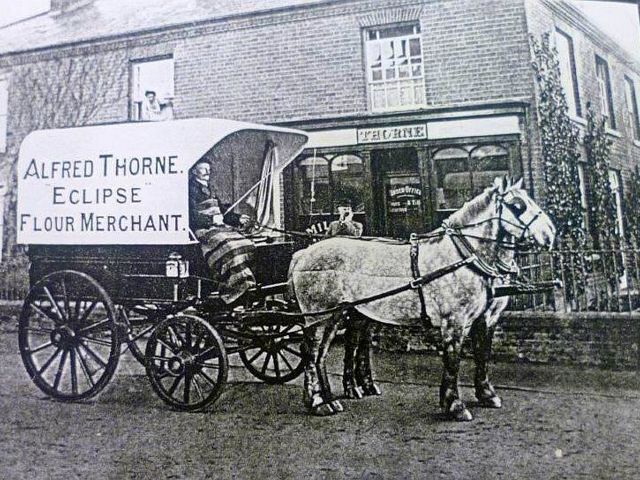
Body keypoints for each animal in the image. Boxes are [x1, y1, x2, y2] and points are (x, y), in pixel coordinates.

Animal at [290, 176, 556, 420]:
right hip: (318, 316)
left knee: (325, 353)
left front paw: (486, 395)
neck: (464, 256)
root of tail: (303, 254)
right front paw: (454, 406)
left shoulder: (486, 318)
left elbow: (483, 354)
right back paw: (317, 402)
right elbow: (452, 360)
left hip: (338, 315)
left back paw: (331, 397)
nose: (550, 234)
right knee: (311, 353)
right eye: (517, 206)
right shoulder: (454, 321)